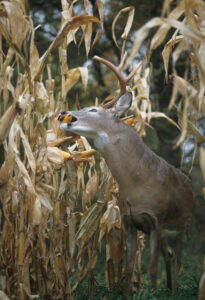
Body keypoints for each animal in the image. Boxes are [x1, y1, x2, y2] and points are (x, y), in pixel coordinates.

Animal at [58, 52, 195, 296]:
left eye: (93, 110)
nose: (64, 113)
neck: (137, 183)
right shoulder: (128, 221)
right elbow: (130, 266)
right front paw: (128, 294)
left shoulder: (156, 219)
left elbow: (151, 268)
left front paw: (151, 294)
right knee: (169, 255)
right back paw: (170, 289)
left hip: (185, 224)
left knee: (178, 258)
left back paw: (175, 291)